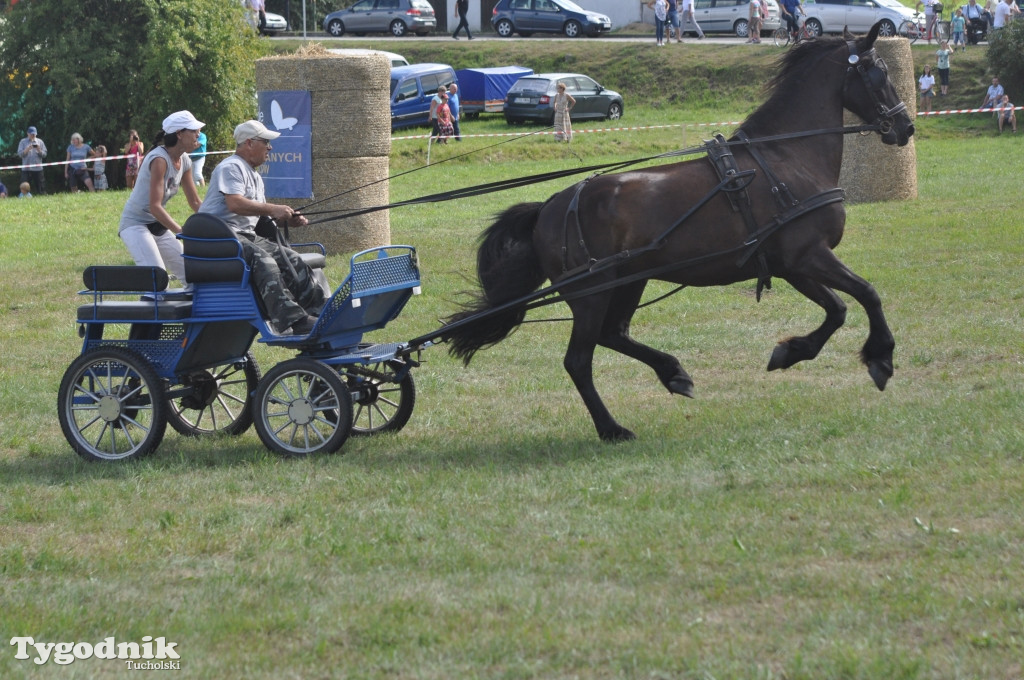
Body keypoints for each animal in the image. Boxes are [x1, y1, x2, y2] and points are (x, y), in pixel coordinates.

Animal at [440, 25, 913, 440]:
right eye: (880, 73)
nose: (905, 127)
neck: (785, 157)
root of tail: (551, 206)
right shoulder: (809, 255)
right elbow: (867, 294)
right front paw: (881, 358)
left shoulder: (793, 265)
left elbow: (838, 309)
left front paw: (791, 352)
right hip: (592, 293)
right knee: (578, 361)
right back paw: (612, 428)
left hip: (629, 281)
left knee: (614, 335)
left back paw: (673, 373)